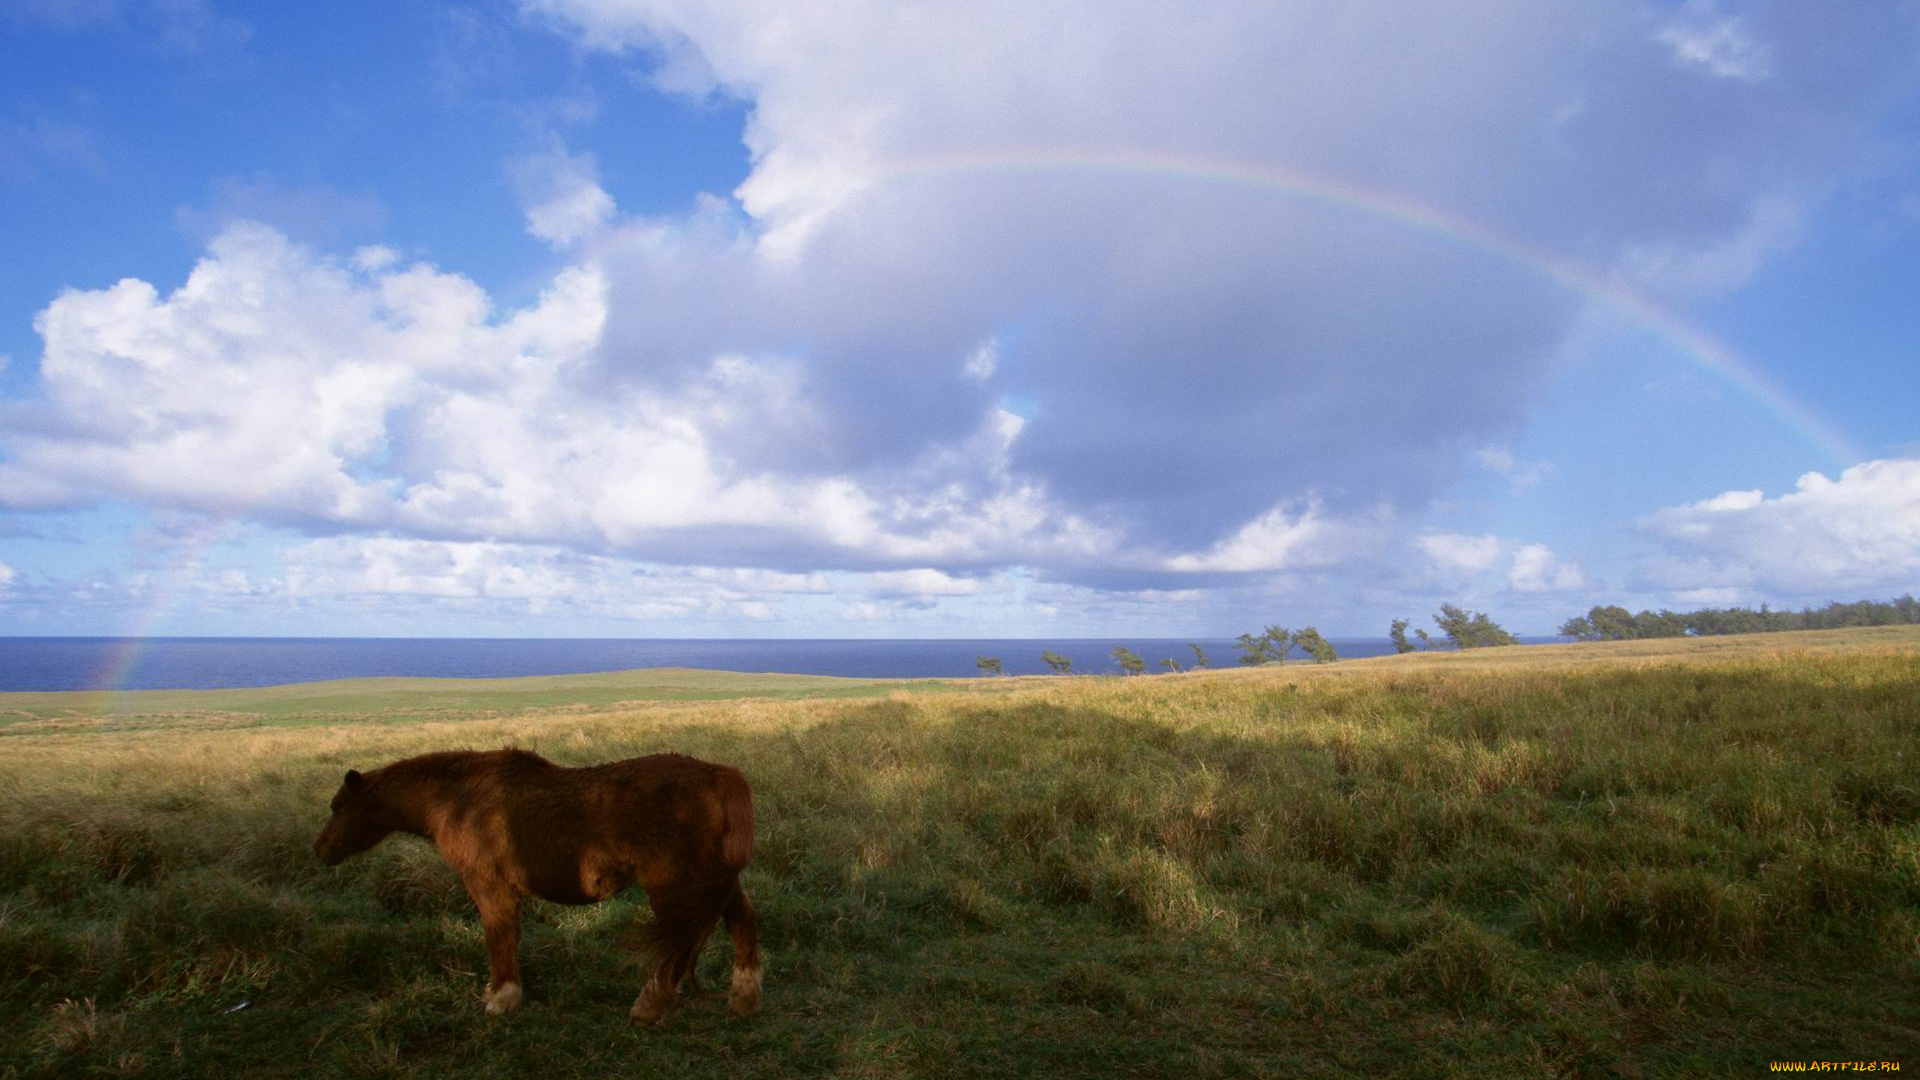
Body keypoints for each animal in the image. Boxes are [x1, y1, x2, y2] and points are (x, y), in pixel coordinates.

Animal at [312, 745, 756, 1022]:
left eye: (337, 807)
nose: (319, 851)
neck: (457, 800)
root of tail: (717, 774)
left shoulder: (487, 885)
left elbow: (498, 935)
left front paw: (502, 998)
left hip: (670, 883)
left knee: (683, 940)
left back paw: (650, 1005)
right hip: (714, 879)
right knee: (740, 921)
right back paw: (744, 999)